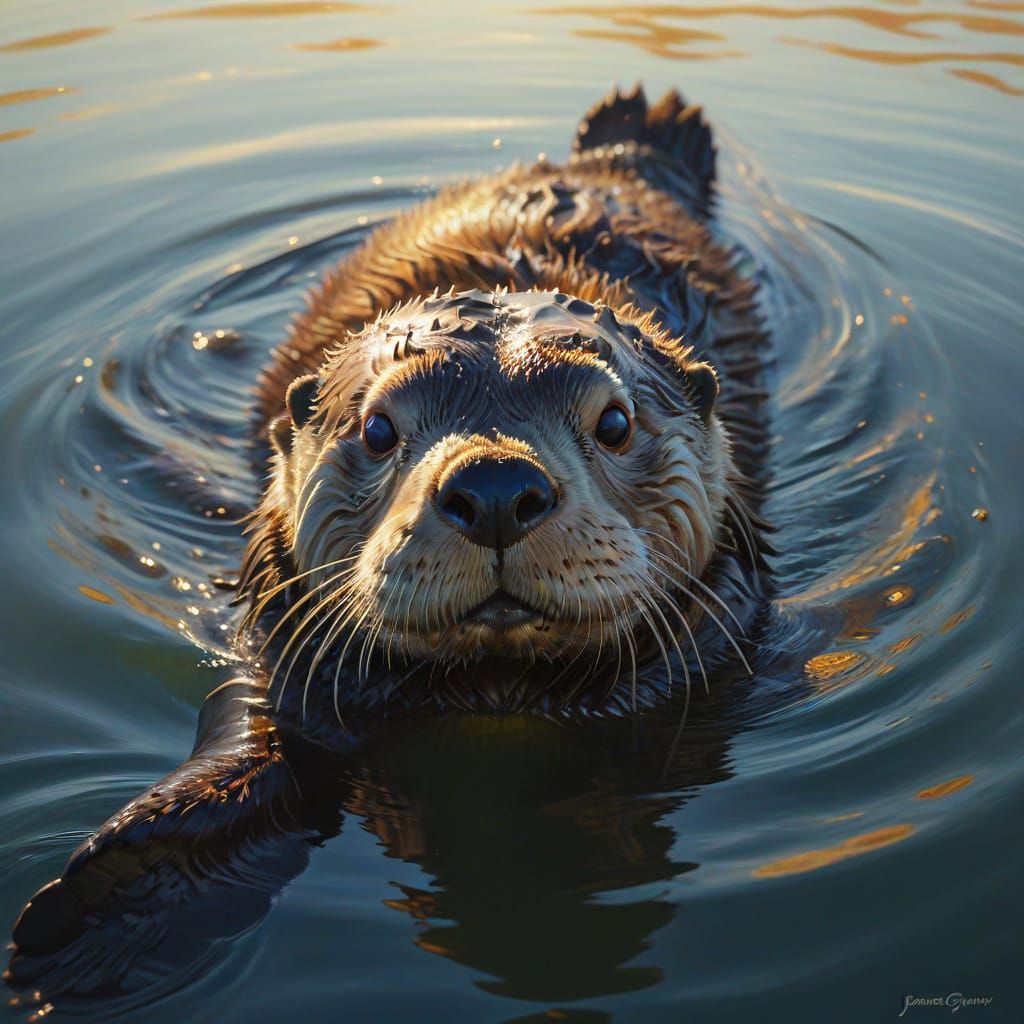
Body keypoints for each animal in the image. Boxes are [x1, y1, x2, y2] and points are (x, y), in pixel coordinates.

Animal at [6, 85, 771, 1000]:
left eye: (615, 422)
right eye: (377, 429)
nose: (496, 488)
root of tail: (620, 159)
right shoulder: (282, 654)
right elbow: (245, 725)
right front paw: (119, 906)